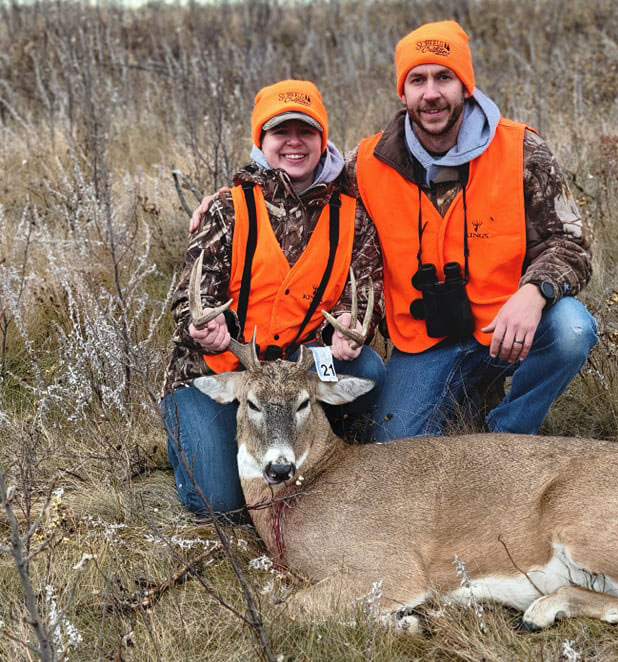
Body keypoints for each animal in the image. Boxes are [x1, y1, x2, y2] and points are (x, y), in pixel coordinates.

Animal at [186, 252, 616, 636]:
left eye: (305, 402)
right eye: (251, 402)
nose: (279, 467)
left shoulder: (390, 565)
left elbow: (286, 609)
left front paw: (407, 621)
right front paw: (405, 622)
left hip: (581, 522)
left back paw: (540, 610)